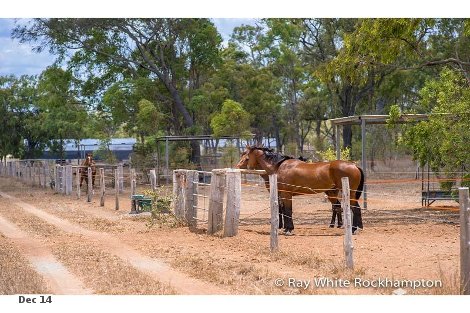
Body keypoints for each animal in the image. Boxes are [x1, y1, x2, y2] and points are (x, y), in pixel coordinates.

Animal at [237, 146, 366, 234]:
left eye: (246, 157)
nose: (237, 167)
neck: (279, 167)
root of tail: (354, 165)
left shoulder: (286, 194)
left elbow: (287, 211)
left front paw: (288, 229)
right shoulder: (282, 195)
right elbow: (284, 211)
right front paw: (285, 227)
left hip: (347, 194)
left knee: (354, 209)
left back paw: (354, 229)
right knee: (342, 207)